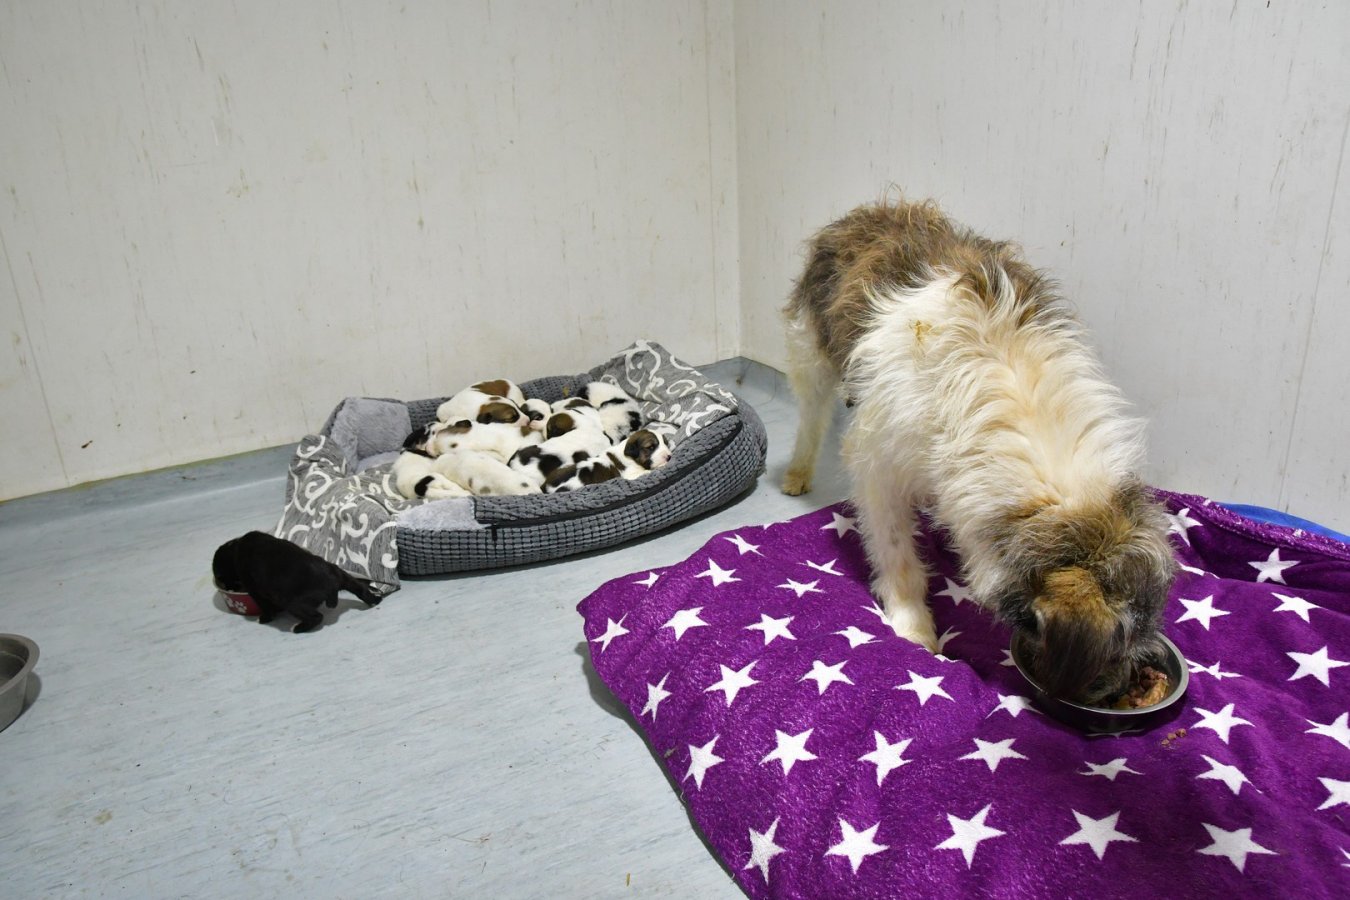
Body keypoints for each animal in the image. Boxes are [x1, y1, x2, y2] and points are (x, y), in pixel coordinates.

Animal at [212, 531, 381, 632]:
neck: (234, 550)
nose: (230, 588)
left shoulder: (255, 591)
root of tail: (330, 582)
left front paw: (265, 618)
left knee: (317, 617)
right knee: (360, 589)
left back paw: (298, 628)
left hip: (294, 603)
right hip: (342, 575)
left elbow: (265, 606)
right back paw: (375, 599)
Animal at [781, 198, 1176, 705]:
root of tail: (873, 209)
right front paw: (913, 626)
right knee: (810, 414)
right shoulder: (879, 467)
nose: (1124, 690)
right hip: (809, 350)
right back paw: (797, 471)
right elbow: (896, 552)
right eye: (1119, 641)